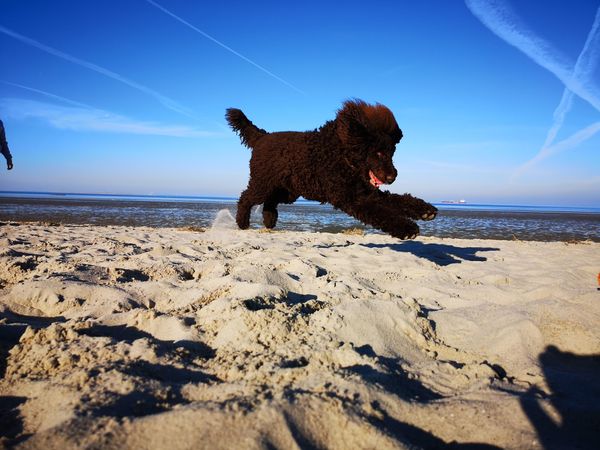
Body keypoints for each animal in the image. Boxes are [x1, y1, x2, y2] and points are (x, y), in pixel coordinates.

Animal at [225, 98, 436, 239]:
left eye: (392, 152)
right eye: (378, 153)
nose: (392, 177)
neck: (341, 154)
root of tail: (262, 136)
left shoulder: (367, 192)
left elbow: (396, 200)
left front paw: (425, 210)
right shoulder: (351, 198)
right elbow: (381, 213)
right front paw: (407, 228)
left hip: (288, 190)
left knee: (270, 202)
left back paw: (270, 220)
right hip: (263, 183)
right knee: (246, 197)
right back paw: (242, 222)